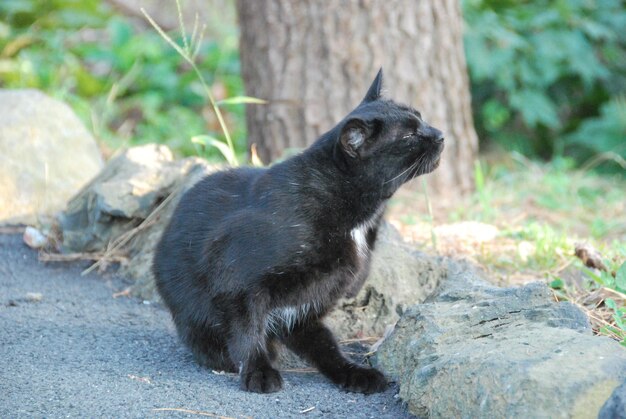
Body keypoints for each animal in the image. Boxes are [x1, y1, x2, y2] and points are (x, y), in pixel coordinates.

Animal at [153, 70, 442, 396]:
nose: (440, 134)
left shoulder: (312, 302)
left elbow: (325, 344)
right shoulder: (236, 277)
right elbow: (247, 331)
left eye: (421, 118)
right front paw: (258, 372)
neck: (355, 217)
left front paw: (353, 372)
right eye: (409, 136)